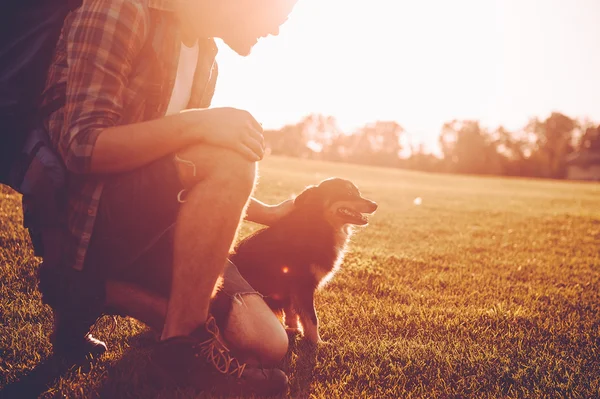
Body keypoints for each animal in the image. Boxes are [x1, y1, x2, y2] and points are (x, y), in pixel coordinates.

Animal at [213, 178, 378, 344]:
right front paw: (317, 343)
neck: (319, 225)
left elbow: (293, 312)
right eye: (348, 193)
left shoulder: (290, 289)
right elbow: (312, 318)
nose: (375, 205)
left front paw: (295, 329)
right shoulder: (302, 286)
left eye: (358, 192)